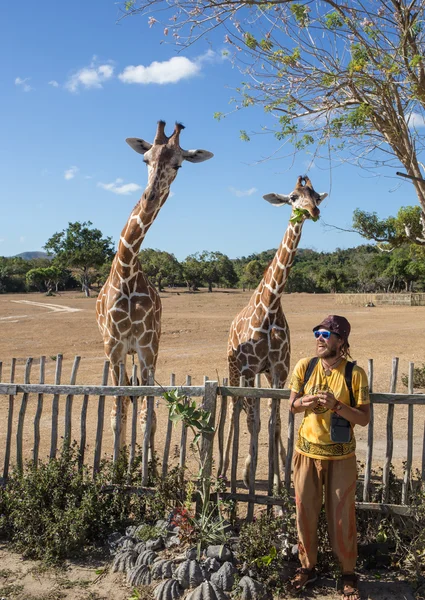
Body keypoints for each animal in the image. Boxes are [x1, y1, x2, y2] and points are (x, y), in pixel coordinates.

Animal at [97, 120, 214, 450]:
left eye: (178, 165)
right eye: (145, 160)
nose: (149, 196)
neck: (126, 272)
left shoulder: (148, 348)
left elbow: (148, 417)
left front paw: (145, 462)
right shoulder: (114, 348)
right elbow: (117, 414)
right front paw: (120, 461)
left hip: (149, 350)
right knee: (126, 402)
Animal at [220, 173, 326, 488]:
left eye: (316, 195)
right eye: (293, 197)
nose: (313, 211)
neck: (270, 305)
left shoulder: (278, 369)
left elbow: (275, 421)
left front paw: (279, 482)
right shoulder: (249, 369)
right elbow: (252, 421)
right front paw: (248, 473)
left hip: (262, 373)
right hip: (235, 369)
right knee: (235, 410)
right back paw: (225, 471)